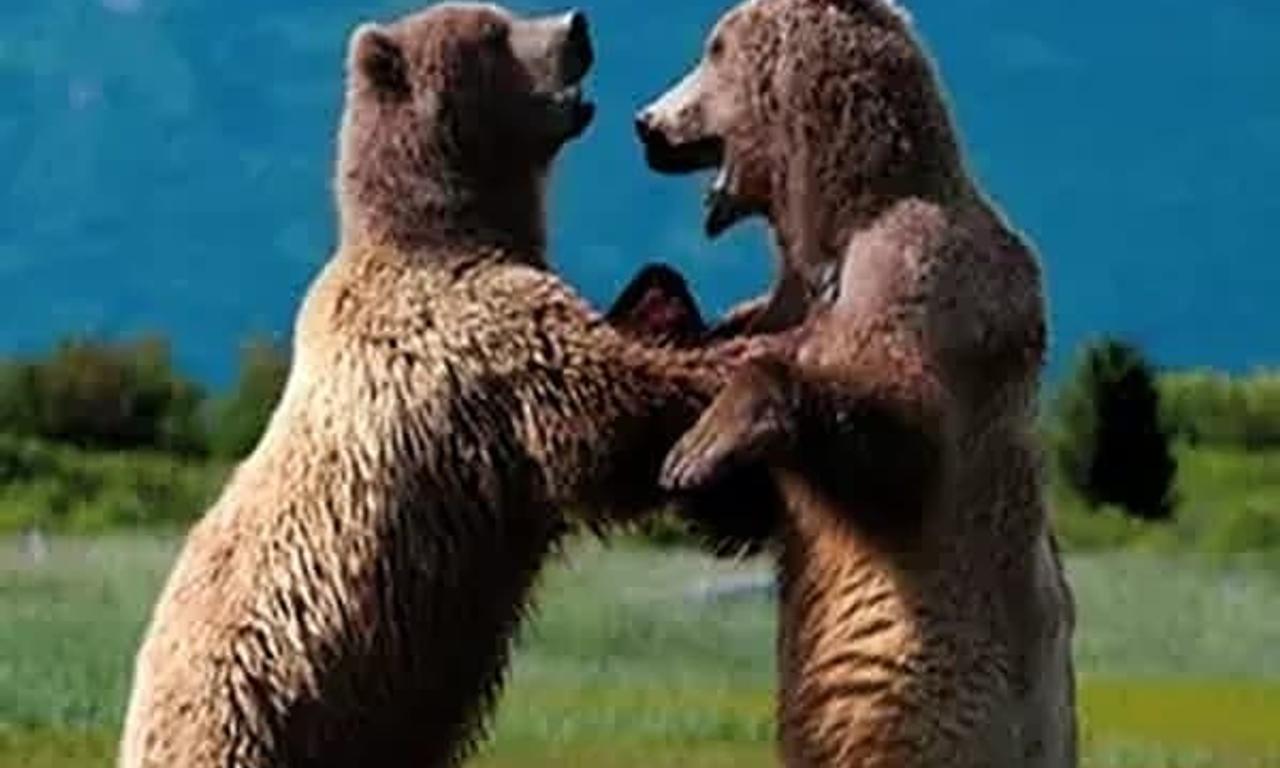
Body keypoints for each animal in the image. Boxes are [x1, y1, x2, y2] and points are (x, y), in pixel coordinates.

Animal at [118, 5, 775, 768]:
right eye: (492, 31)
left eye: (504, 15)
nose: (577, 24)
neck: (449, 228)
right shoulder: (473, 340)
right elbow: (607, 410)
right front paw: (741, 366)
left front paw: (678, 301)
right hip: (268, 723)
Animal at [629, 0, 1078, 765]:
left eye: (713, 49)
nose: (647, 122)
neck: (834, 229)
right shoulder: (784, 302)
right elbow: (750, 509)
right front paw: (661, 316)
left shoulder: (927, 278)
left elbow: (902, 439)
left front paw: (705, 440)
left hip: (935, 713)